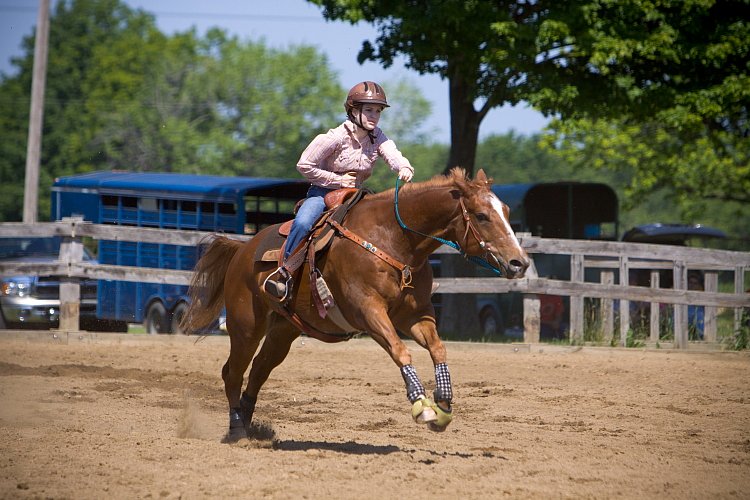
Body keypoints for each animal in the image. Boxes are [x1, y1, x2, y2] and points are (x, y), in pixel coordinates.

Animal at [181, 169, 528, 442]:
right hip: (246, 326)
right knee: (232, 372)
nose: (519, 262)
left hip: (283, 331)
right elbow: (400, 351)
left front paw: (443, 401)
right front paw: (422, 408)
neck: (395, 241)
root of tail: (242, 249)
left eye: (507, 211)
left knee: (257, 372)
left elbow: (438, 348)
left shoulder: (416, 316)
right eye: (482, 216)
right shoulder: (369, 312)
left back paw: (252, 427)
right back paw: (238, 430)